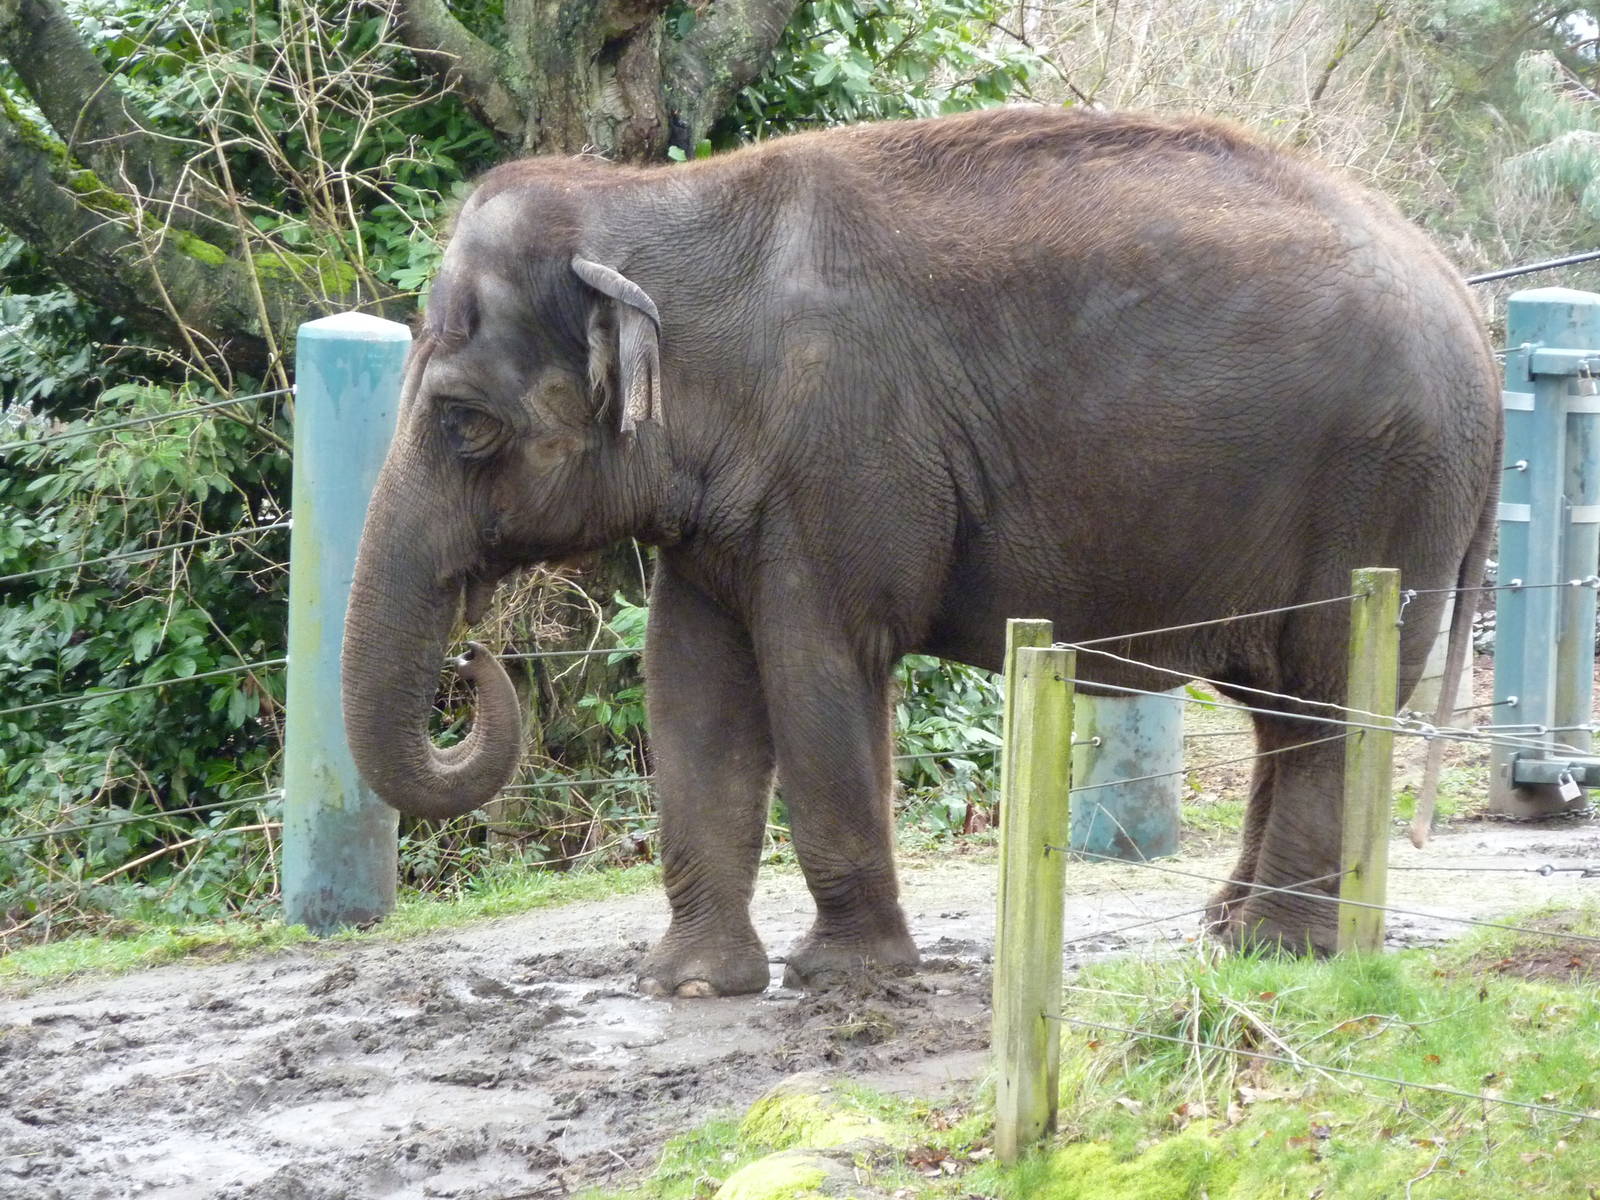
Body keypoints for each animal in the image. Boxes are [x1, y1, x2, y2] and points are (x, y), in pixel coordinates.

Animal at [340, 105, 1501, 998]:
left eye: (461, 422)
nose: (476, 654)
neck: (655, 202)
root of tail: (1467, 301)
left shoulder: (844, 458)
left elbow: (816, 672)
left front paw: (844, 977)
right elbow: (692, 688)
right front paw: (690, 986)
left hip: (1383, 493)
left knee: (1326, 695)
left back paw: (1280, 950)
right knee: (1283, 712)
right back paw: (1230, 929)